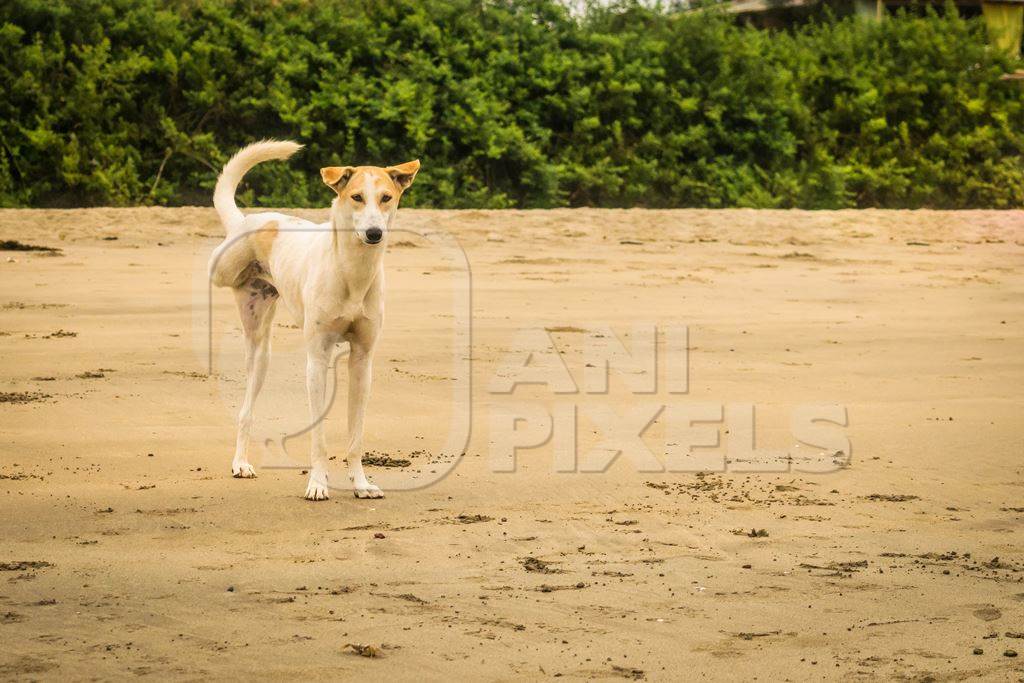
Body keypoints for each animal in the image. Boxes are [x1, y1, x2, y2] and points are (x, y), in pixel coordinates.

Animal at [207, 140, 419, 501]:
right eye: (357, 197)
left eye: (386, 197)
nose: (374, 233)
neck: (352, 271)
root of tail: (250, 220)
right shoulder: (317, 360)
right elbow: (318, 437)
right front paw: (317, 483)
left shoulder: (362, 361)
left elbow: (355, 435)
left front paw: (361, 483)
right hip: (238, 302)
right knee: (245, 411)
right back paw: (240, 463)